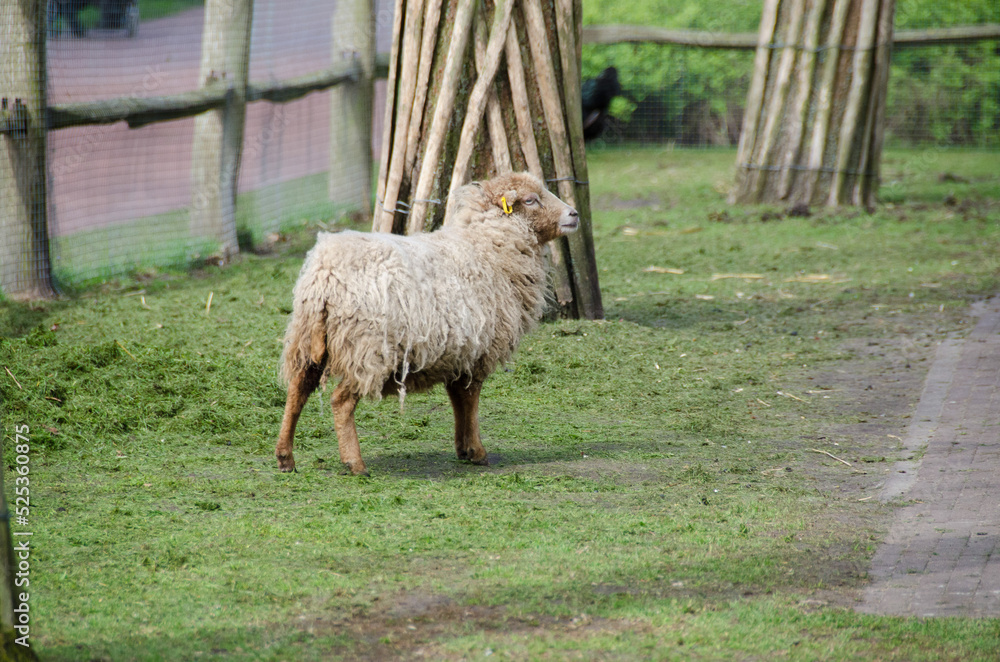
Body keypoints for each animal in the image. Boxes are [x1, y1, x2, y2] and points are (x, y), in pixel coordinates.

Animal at [275, 172, 580, 475]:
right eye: (530, 200)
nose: (574, 214)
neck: (487, 247)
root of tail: (326, 273)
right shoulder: (478, 350)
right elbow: (471, 400)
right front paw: (478, 451)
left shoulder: (460, 353)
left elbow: (458, 399)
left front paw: (463, 448)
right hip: (365, 347)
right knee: (341, 401)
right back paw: (355, 463)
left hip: (309, 339)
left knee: (297, 391)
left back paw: (285, 456)